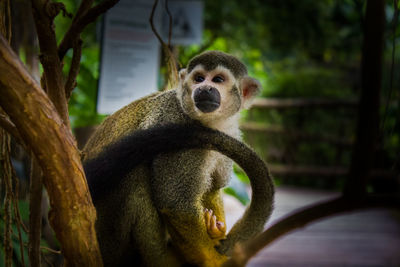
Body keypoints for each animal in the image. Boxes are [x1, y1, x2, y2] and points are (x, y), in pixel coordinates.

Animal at [82, 51, 274, 266]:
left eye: (218, 80)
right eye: (198, 78)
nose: (204, 88)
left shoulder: (229, 131)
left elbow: (213, 187)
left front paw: (216, 231)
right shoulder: (178, 128)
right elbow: (175, 203)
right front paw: (212, 260)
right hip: (108, 237)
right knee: (135, 172)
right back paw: (159, 259)